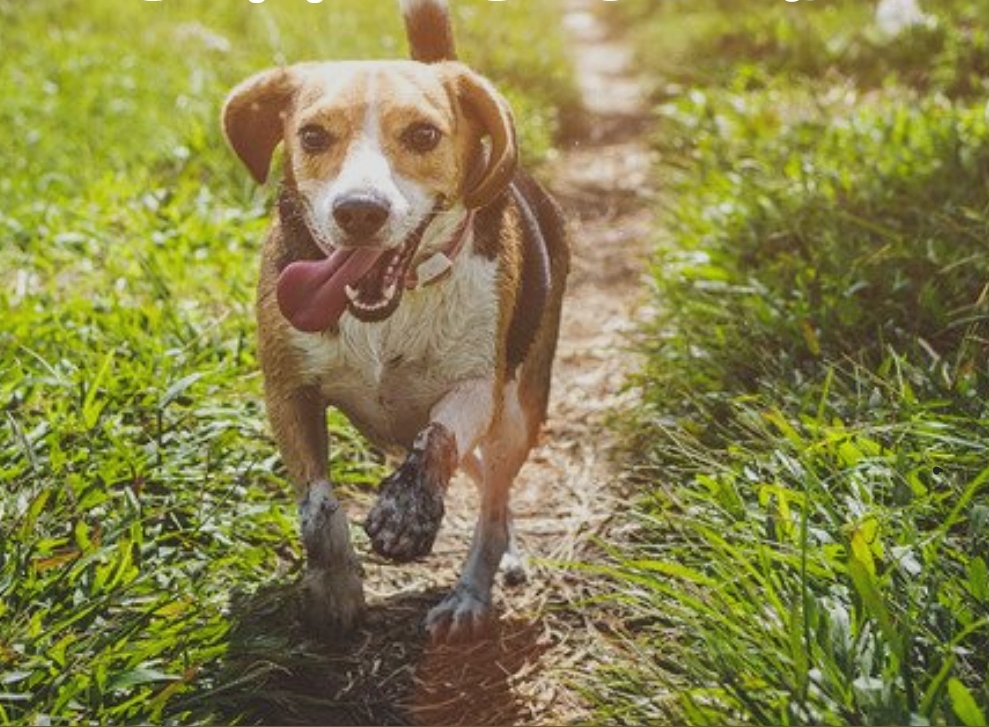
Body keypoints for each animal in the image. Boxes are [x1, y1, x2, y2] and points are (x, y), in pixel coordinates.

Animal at [220, 0, 568, 644]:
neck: (391, 309)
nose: (359, 211)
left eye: (423, 135)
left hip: (518, 413)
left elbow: (440, 438)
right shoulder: (287, 392)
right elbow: (319, 507)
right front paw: (335, 589)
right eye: (312, 135)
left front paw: (406, 512)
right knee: (484, 484)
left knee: (491, 502)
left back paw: (470, 593)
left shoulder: (477, 387)